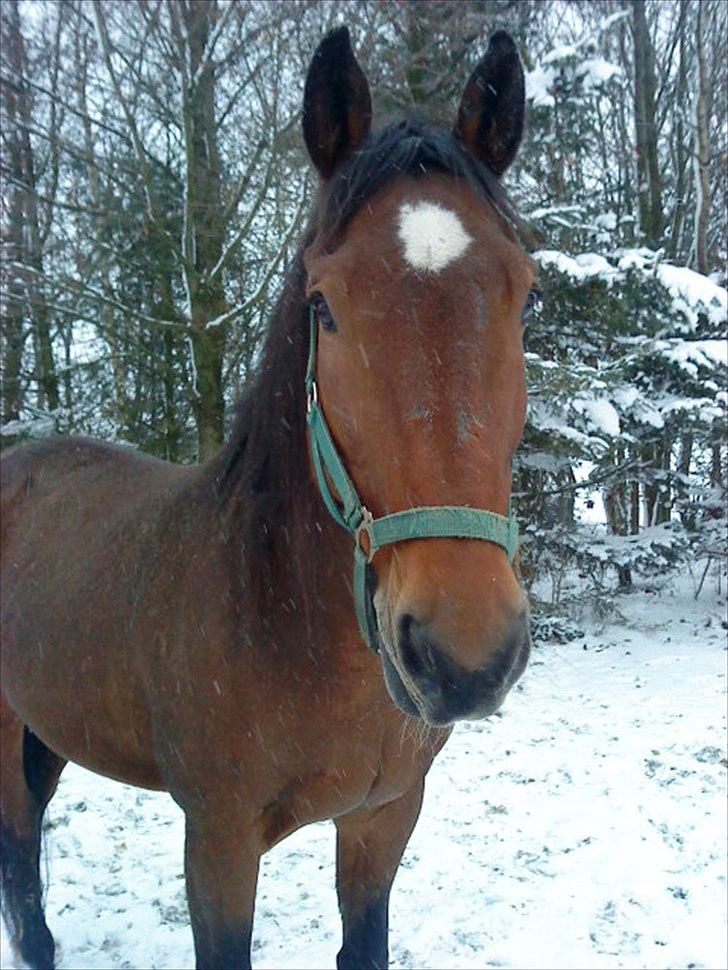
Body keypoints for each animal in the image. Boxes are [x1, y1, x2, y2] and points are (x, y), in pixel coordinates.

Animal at [0, 24, 536, 968]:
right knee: (19, 848)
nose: (465, 655)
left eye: (525, 295)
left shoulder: (383, 820)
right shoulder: (216, 841)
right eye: (323, 306)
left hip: (48, 726)